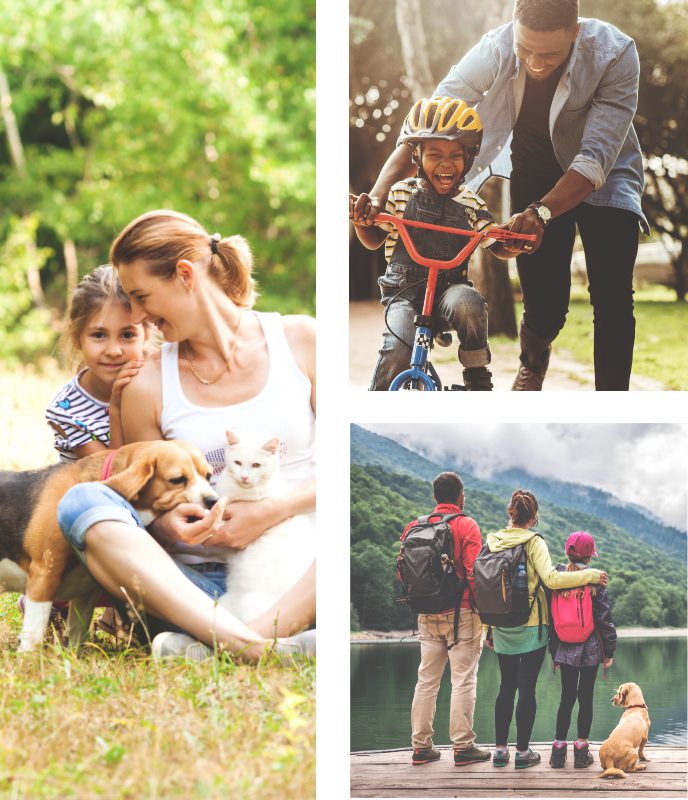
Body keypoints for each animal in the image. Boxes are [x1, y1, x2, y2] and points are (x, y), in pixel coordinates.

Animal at [0, 440, 218, 652]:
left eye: (208, 476)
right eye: (178, 479)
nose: (213, 500)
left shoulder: (85, 592)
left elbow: (77, 636)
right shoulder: (44, 575)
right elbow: (33, 635)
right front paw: (28, 659)